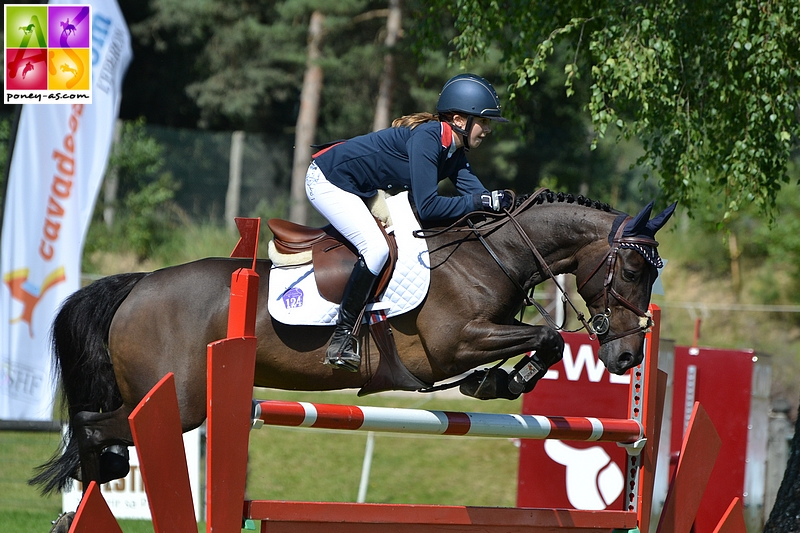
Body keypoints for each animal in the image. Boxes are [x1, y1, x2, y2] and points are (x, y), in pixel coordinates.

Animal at [32, 188, 676, 494]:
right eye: (633, 271)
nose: (627, 356)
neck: (489, 254)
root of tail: (138, 285)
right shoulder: (453, 342)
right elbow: (547, 334)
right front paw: (496, 380)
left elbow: (547, 339)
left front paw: (501, 381)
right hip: (181, 403)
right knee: (95, 425)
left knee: (103, 430)